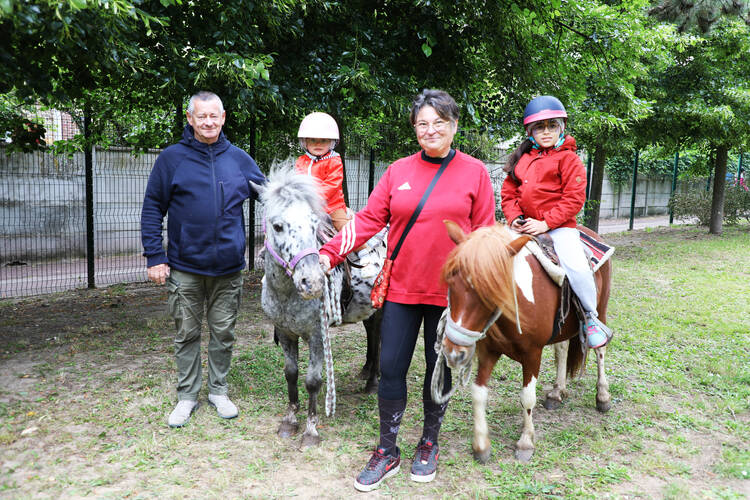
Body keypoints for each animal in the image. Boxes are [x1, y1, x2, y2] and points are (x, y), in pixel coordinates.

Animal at [251, 167, 385, 447]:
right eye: (277, 226)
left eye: (314, 225)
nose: (312, 282)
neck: (287, 295)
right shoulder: (286, 332)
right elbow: (291, 373)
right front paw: (289, 420)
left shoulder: (316, 335)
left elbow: (313, 381)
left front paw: (311, 431)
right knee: (371, 331)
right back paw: (366, 371)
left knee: (378, 334)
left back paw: (372, 382)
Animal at [433, 220, 612, 462]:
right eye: (451, 283)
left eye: (488, 291)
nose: (453, 352)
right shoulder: (488, 351)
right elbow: (478, 393)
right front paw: (481, 445)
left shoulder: (532, 354)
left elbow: (527, 397)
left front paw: (526, 442)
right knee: (562, 348)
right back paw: (557, 392)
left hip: (601, 309)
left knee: (600, 350)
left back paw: (602, 396)